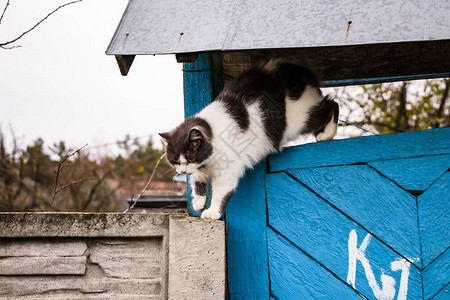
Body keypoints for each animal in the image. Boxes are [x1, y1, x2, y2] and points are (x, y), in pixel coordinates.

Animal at [159, 61, 338, 220]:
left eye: (190, 159)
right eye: (175, 161)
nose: (182, 172)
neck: (212, 130)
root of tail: (302, 71)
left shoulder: (228, 171)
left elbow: (220, 193)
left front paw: (212, 212)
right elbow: (196, 179)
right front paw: (198, 201)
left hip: (301, 117)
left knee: (331, 104)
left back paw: (326, 134)